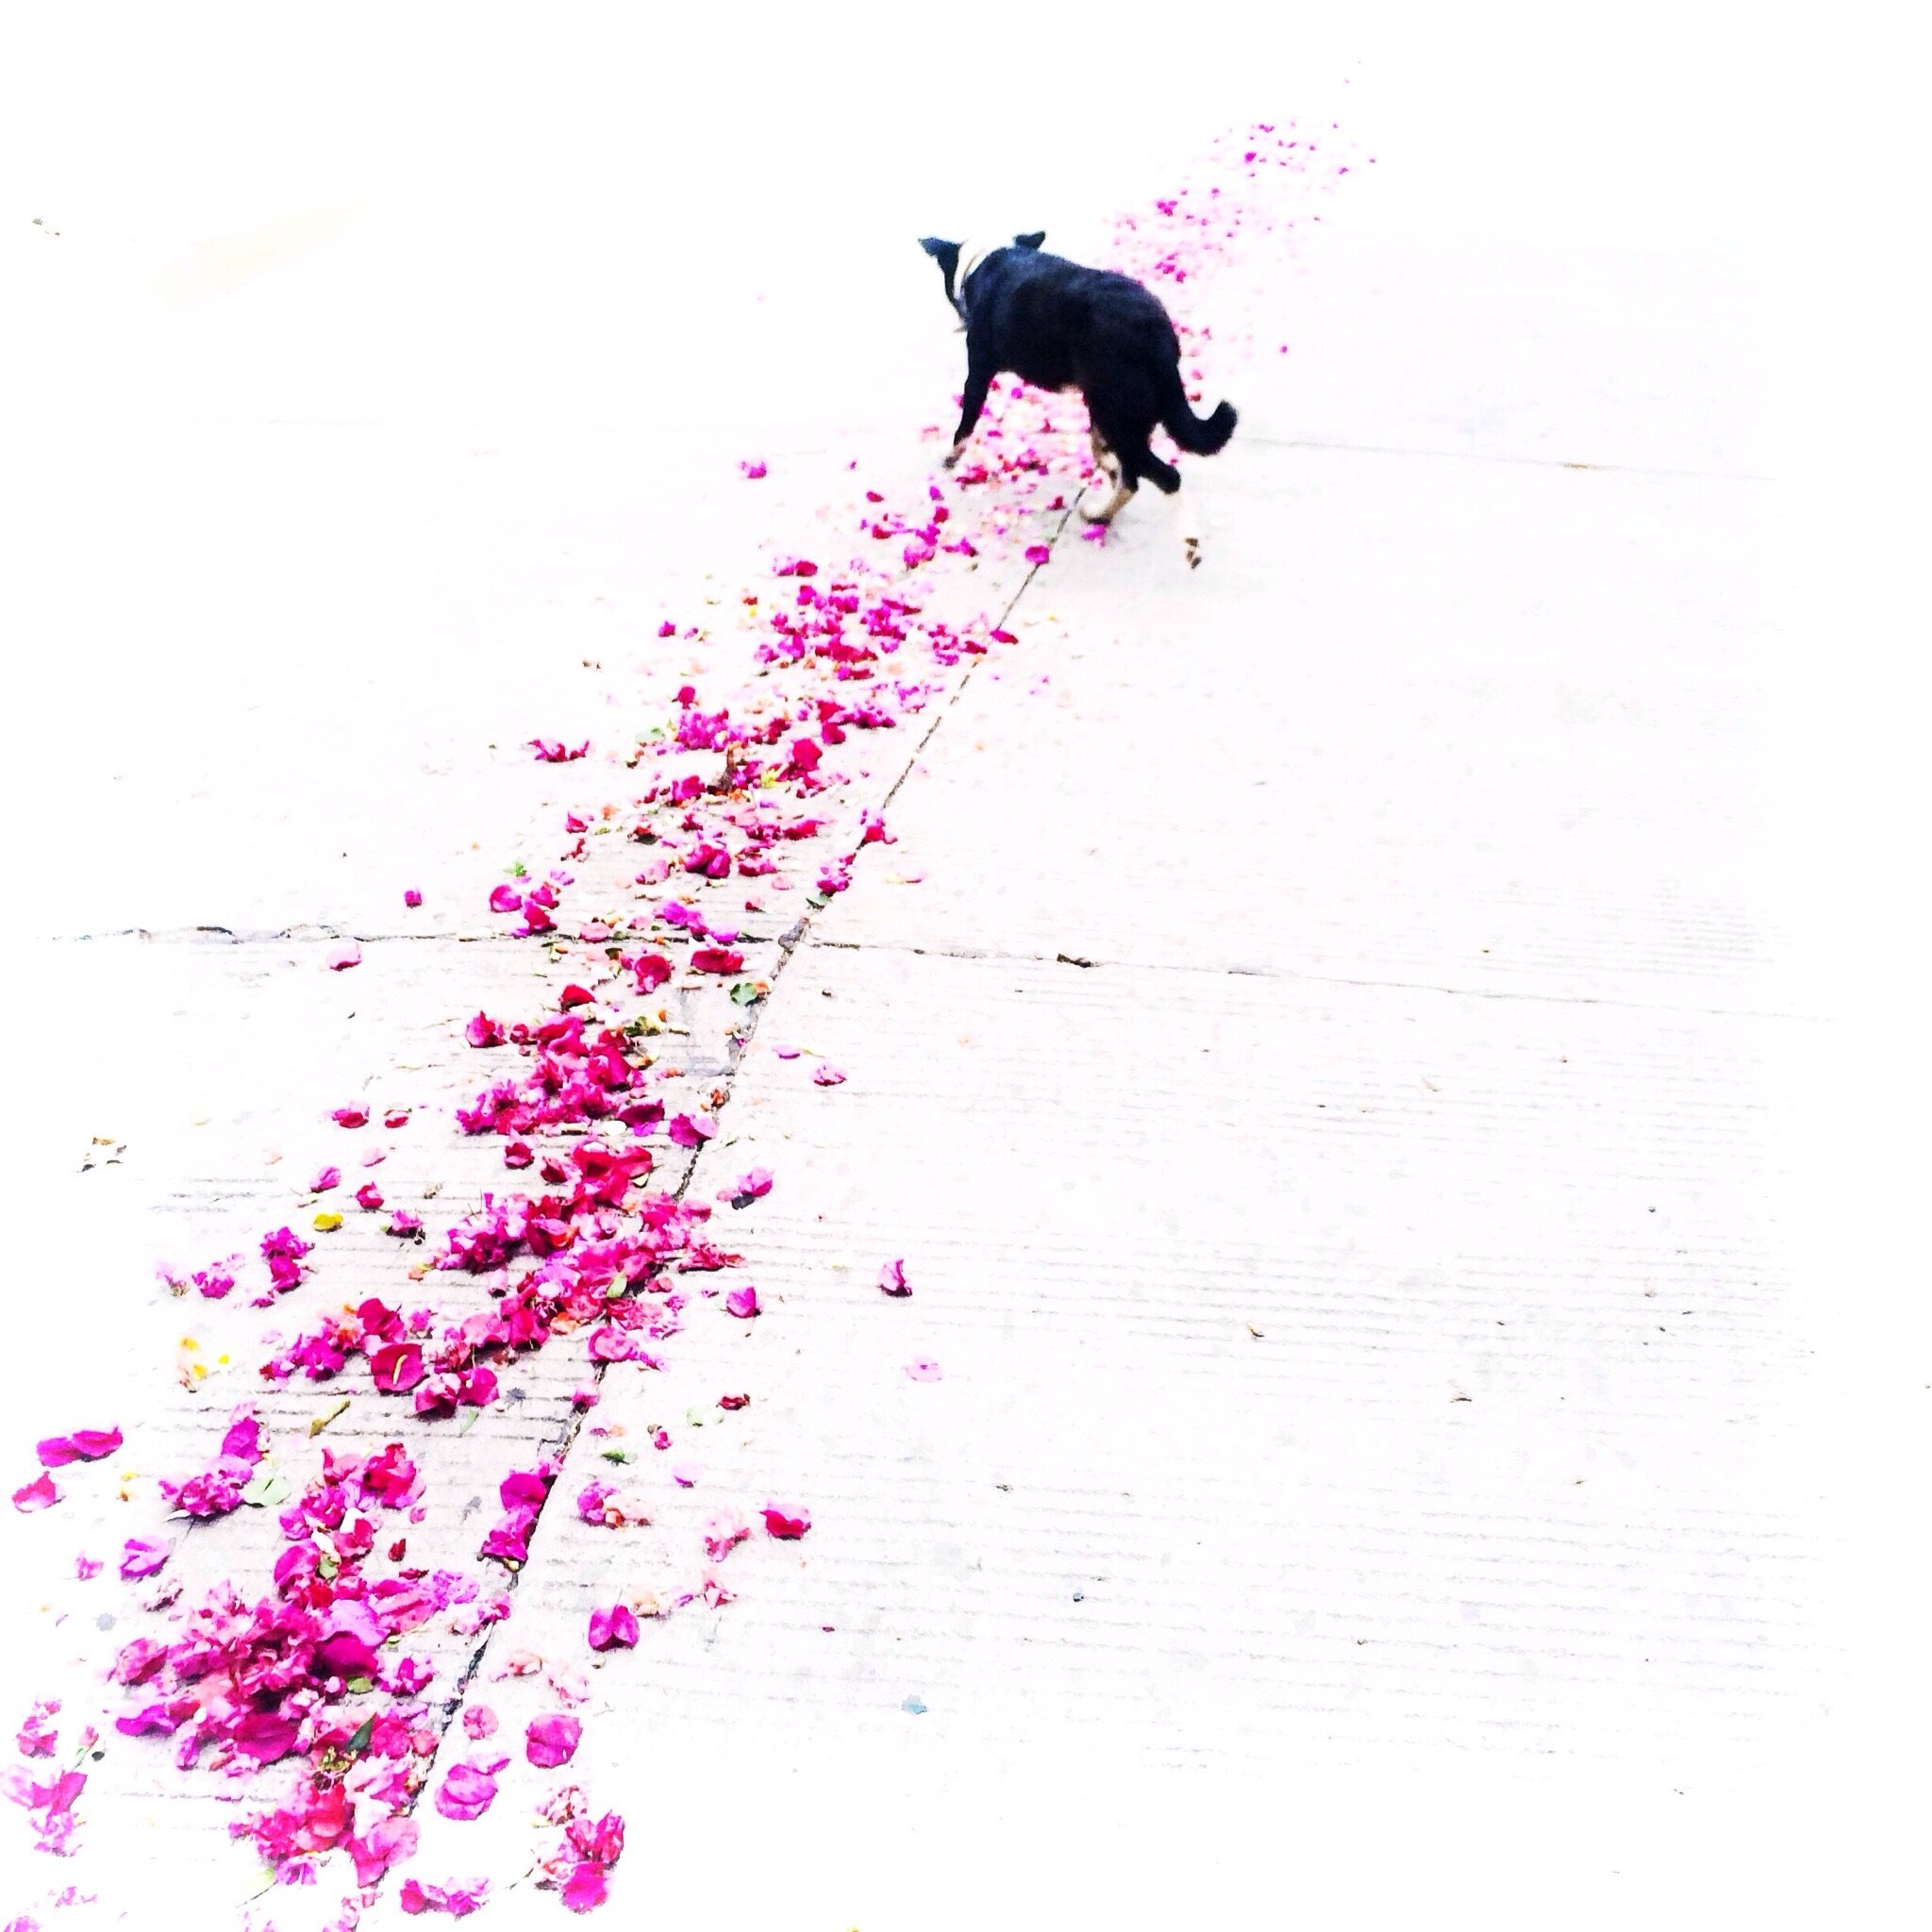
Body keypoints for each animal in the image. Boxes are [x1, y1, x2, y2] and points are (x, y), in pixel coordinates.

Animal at [919, 230, 1236, 567]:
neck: (983, 261)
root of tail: (1155, 329)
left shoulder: (978, 371)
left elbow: (965, 423)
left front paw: (950, 456)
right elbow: (1098, 448)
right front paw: (1107, 465)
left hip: (1116, 412)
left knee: (1165, 476)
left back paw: (1188, 539)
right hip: (1117, 407)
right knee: (1132, 475)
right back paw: (1101, 512)